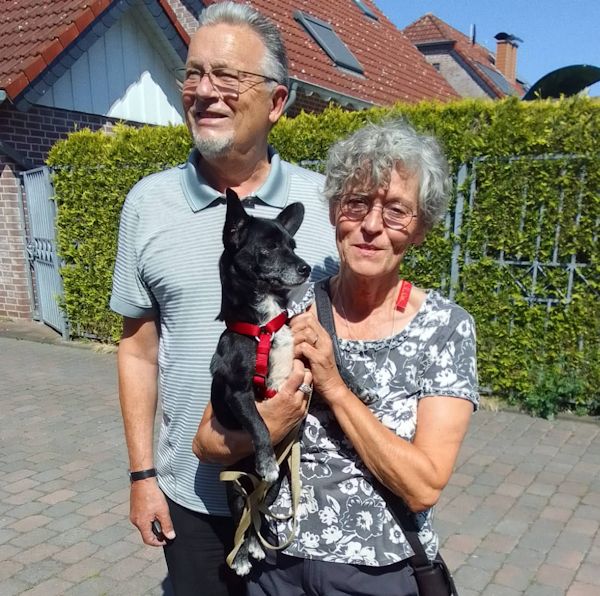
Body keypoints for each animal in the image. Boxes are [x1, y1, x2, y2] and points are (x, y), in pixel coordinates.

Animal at [210, 188, 311, 574]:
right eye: (267, 249)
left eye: (293, 245)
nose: (305, 267)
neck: (265, 326)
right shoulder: (238, 393)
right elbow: (259, 424)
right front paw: (266, 459)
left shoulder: (304, 369)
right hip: (234, 487)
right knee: (243, 514)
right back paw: (241, 556)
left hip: (276, 487)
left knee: (259, 508)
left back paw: (254, 544)